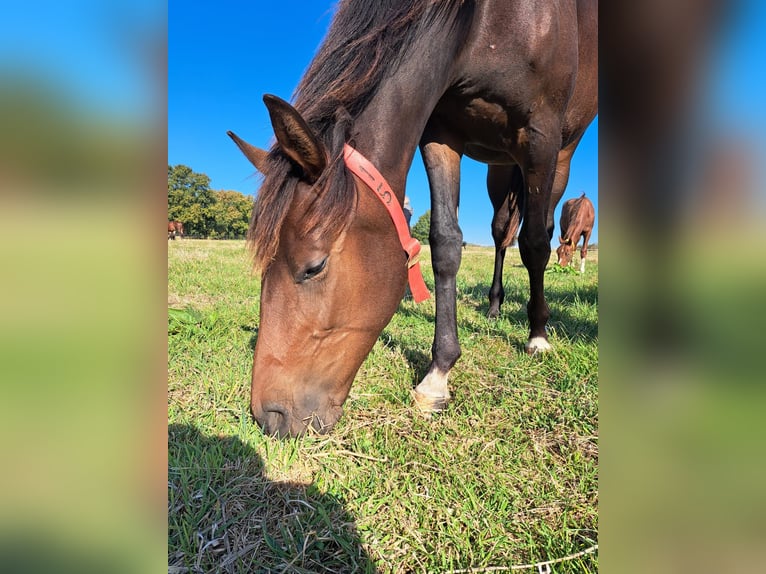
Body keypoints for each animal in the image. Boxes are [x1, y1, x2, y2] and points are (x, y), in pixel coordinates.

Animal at [228, 0, 600, 438]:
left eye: (314, 266)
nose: (269, 416)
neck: (492, 22)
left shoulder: (541, 134)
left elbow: (535, 244)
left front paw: (538, 336)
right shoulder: (442, 131)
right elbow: (445, 243)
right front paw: (438, 375)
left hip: (558, 155)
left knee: (536, 235)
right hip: (500, 167)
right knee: (500, 233)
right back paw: (494, 306)